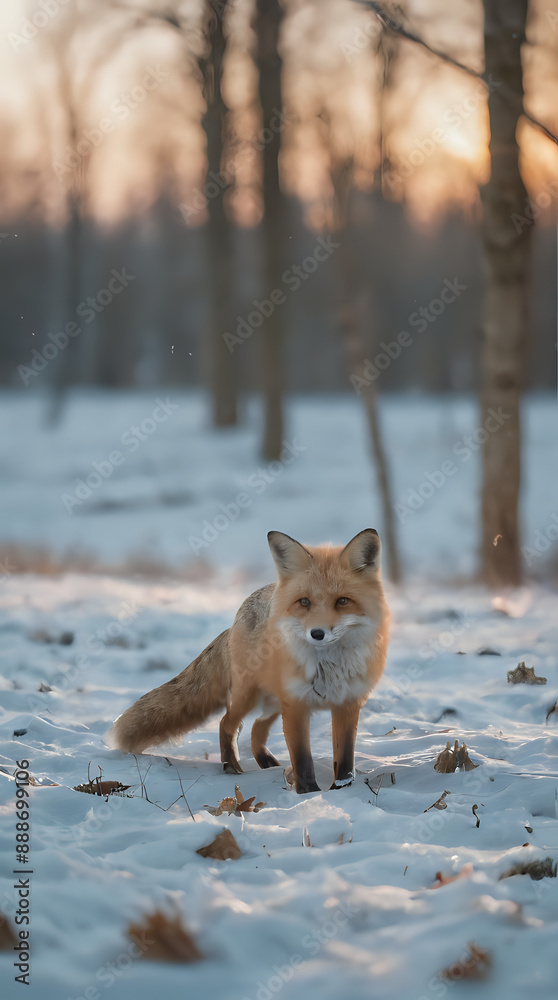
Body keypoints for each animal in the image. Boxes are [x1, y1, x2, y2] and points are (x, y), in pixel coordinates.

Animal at [109, 528, 390, 793]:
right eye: (304, 602)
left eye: (343, 601)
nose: (317, 634)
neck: (328, 668)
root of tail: (239, 615)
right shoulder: (296, 705)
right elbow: (302, 759)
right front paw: (308, 794)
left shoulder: (347, 703)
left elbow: (344, 759)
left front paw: (340, 789)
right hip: (251, 696)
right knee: (227, 723)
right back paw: (231, 766)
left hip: (272, 701)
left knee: (256, 728)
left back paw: (266, 763)